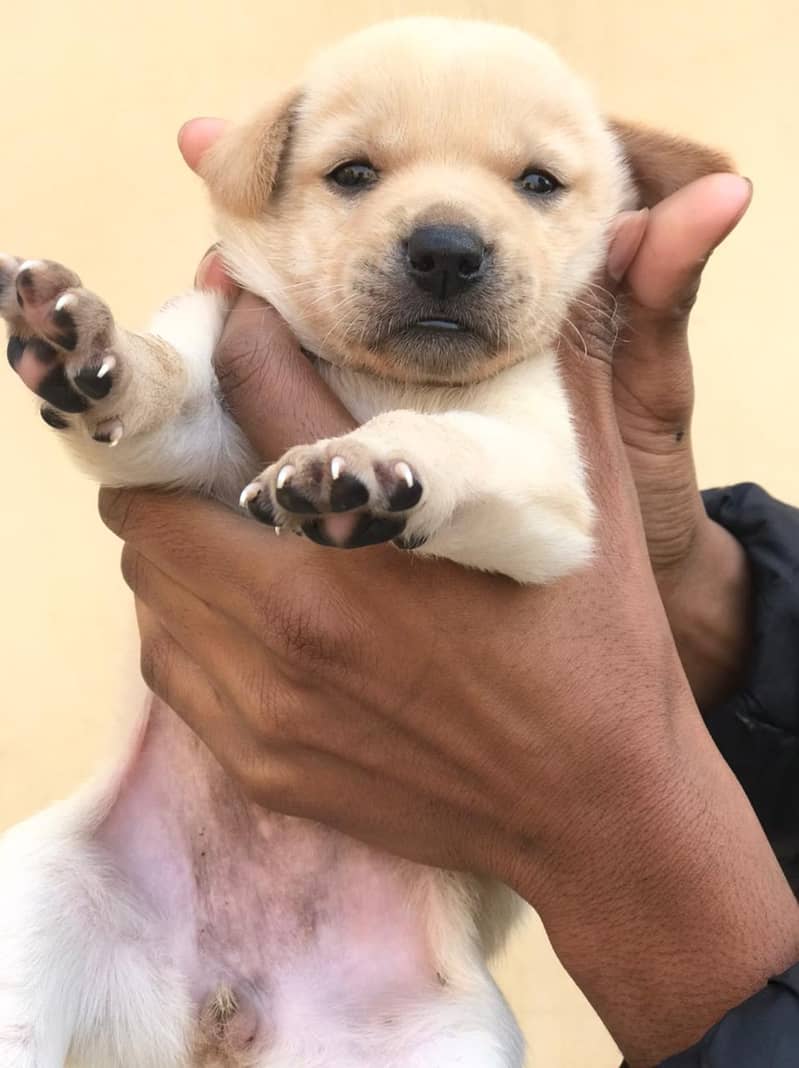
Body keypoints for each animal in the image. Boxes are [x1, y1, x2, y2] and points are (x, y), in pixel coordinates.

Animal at [0, 18, 730, 1068]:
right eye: (352, 173)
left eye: (539, 182)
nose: (445, 251)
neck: (380, 377)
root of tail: (217, 1008)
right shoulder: (198, 427)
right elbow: (167, 382)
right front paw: (93, 354)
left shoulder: (548, 480)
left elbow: (452, 440)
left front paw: (373, 465)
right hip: (32, 920)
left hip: (443, 1042)